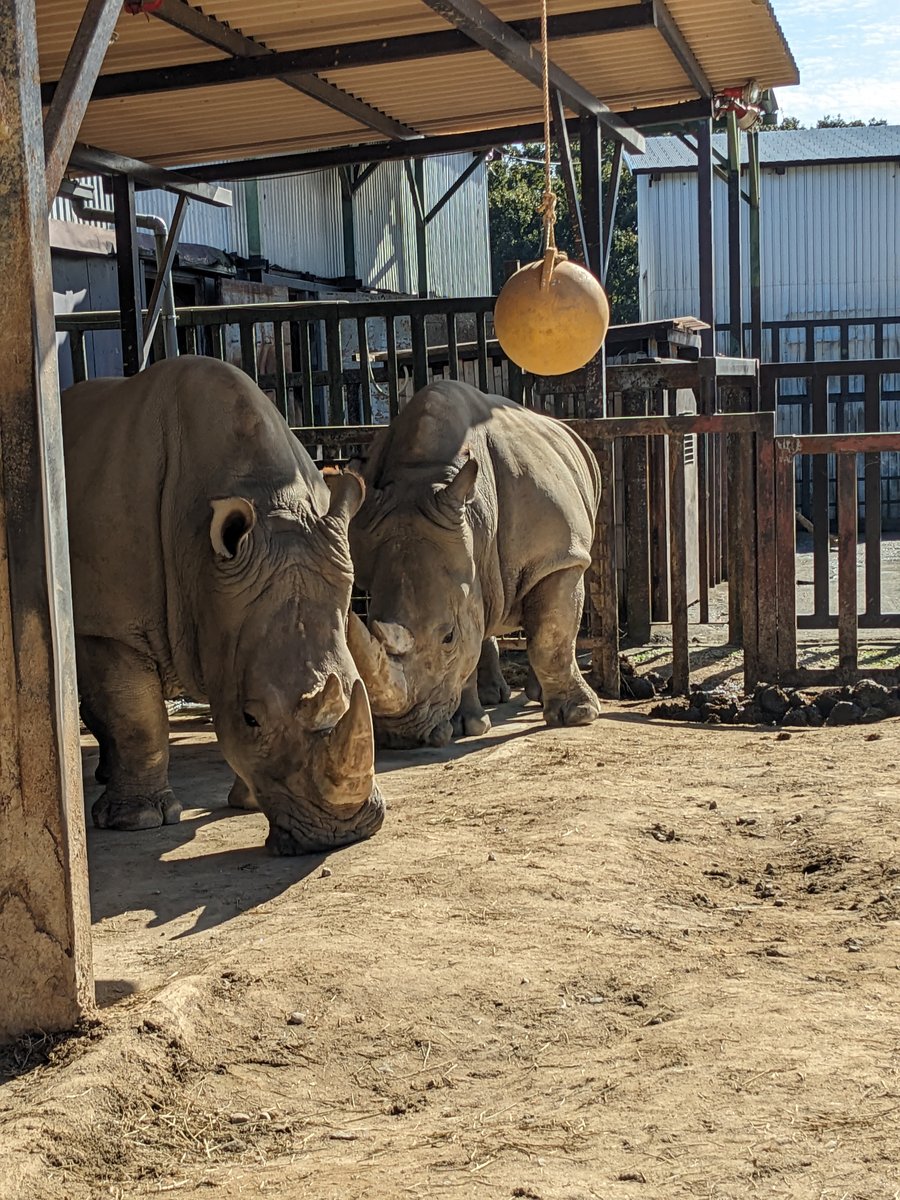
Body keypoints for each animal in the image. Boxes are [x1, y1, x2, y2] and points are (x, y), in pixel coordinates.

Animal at [62, 356, 385, 855]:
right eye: (251, 717)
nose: (340, 833)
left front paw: (246, 803)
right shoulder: (111, 622)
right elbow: (138, 715)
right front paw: (138, 822)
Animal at [347, 380, 601, 748]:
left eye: (448, 637)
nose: (402, 736)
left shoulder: (558, 557)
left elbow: (550, 637)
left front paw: (578, 716)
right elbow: (470, 636)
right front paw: (464, 728)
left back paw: (535, 697)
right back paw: (493, 698)